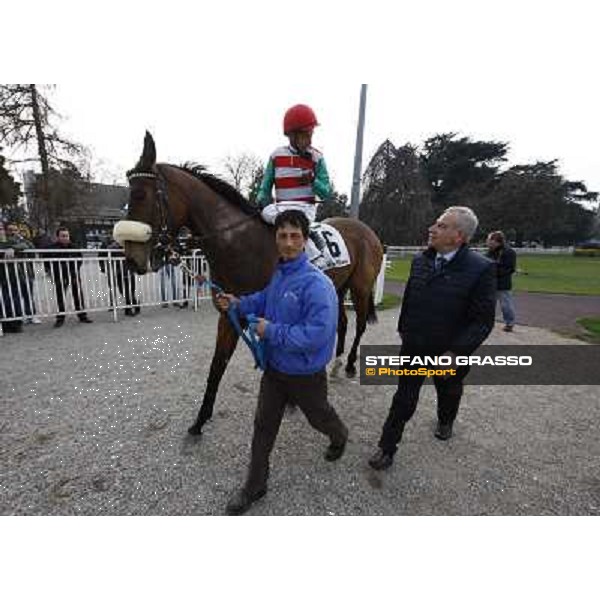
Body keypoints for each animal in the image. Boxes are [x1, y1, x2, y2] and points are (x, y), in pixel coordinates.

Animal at [116, 134, 384, 436]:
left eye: (140, 195)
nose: (131, 259)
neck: (241, 243)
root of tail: (366, 229)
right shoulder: (229, 312)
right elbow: (217, 366)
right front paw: (200, 420)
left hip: (361, 287)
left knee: (360, 323)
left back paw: (349, 364)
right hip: (337, 288)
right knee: (342, 323)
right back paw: (336, 364)